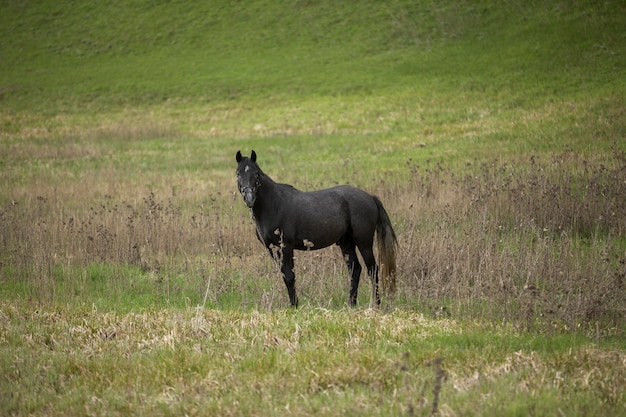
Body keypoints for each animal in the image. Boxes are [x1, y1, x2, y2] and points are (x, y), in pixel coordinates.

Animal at [234, 151, 394, 308]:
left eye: (256, 174)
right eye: (238, 173)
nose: (249, 198)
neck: (274, 204)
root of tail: (370, 197)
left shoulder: (286, 246)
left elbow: (290, 275)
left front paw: (294, 306)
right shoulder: (272, 248)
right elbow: (285, 275)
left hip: (364, 243)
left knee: (373, 270)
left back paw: (376, 304)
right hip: (346, 244)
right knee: (355, 270)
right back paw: (351, 303)